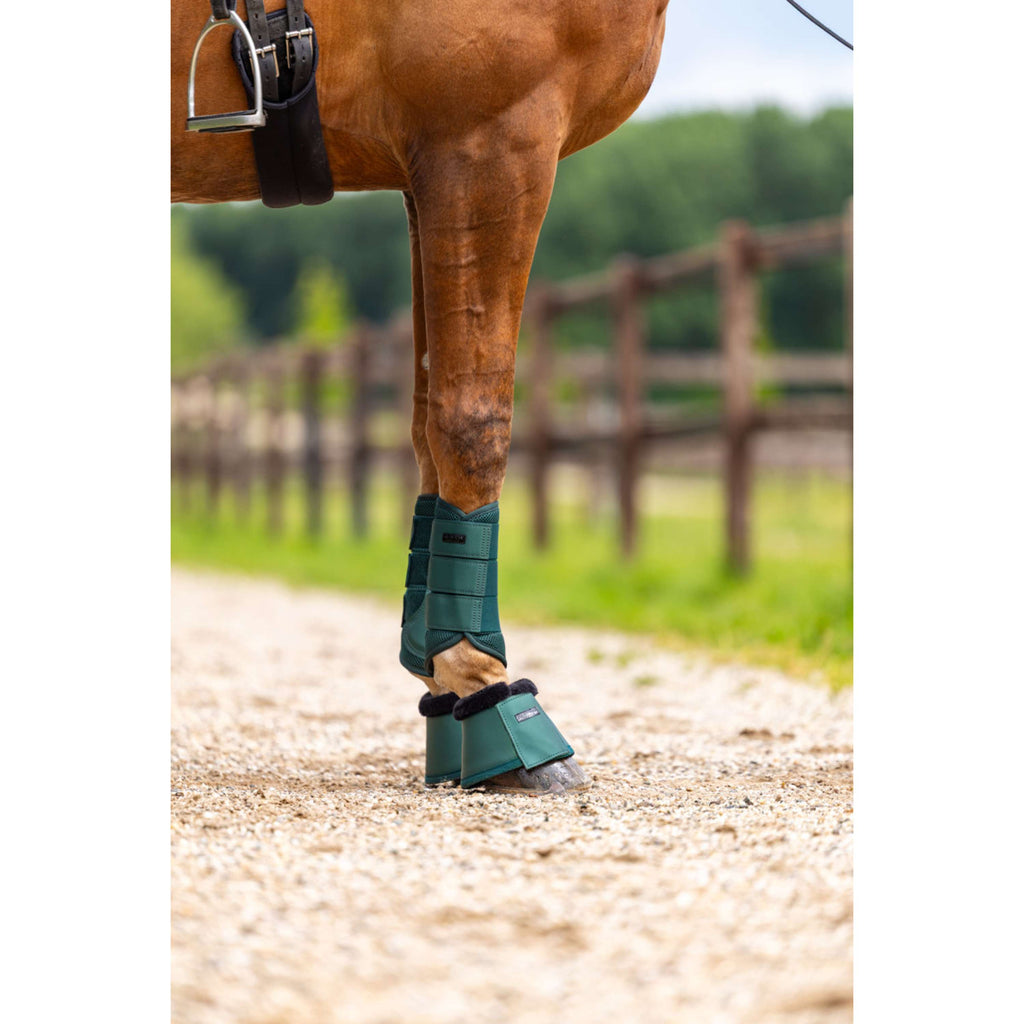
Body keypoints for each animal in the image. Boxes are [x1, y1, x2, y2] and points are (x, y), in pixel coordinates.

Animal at [171, 0, 669, 793]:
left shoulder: (424, 167)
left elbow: (426, 427)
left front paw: (442, 681)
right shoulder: (491, 140)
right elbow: (474, 418)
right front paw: (486, 691)